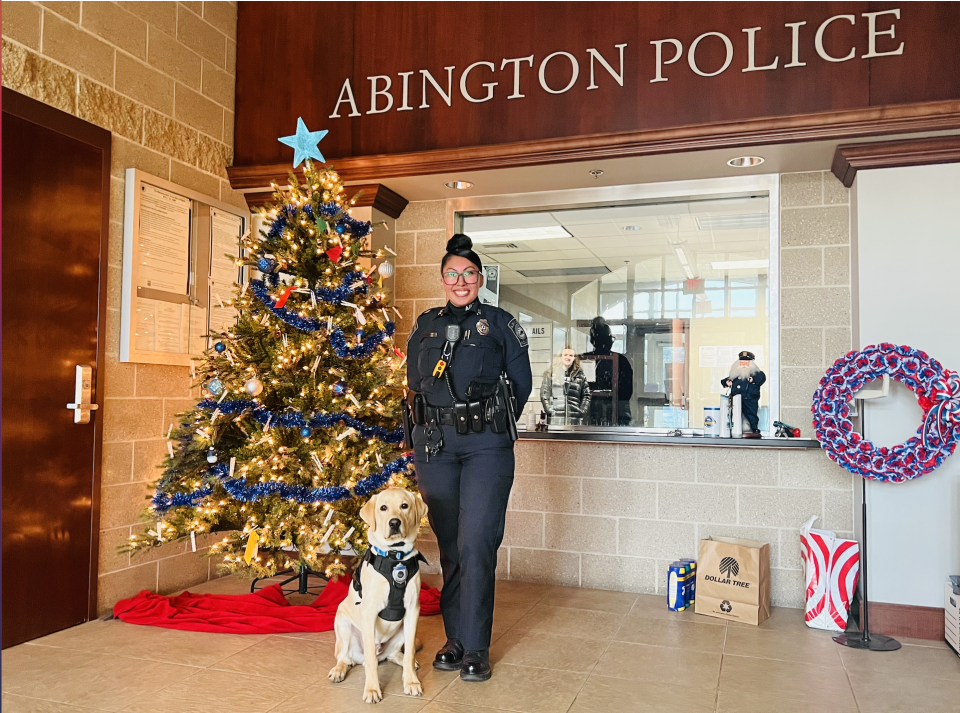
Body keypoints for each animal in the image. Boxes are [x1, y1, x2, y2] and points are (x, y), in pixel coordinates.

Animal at [330, 486, 428, 704]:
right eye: (383, 508)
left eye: (404, 506)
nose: (394, 522)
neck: (395, 557)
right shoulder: (369, 612)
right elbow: (371, 662)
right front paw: (372, 690)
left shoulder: (413, 611)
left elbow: (409, 652)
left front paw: (411, 682)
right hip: (343, 624)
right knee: (345, 658)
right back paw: (338, 671)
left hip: (401, 632)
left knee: (395, 655)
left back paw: (410, 664)